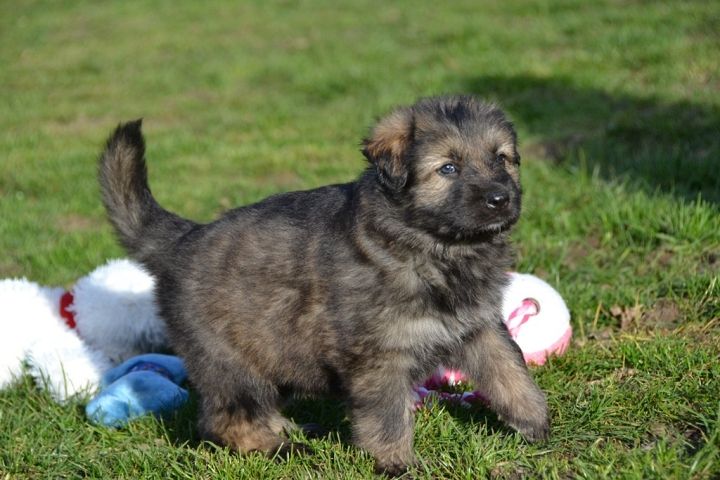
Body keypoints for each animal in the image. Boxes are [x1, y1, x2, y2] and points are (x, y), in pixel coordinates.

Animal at [99, 95, 549, 476]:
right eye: (449, 168)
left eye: (502, 159)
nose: (500, 198)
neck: (438, 247)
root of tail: (184, 239)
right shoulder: (378, 356)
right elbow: (387, 416)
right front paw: (398, 464)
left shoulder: (478, 326)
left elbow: (510, 371)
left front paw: (536, 424)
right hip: (231, 362)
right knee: (225, 420)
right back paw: (279, 449)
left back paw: (289, 430)